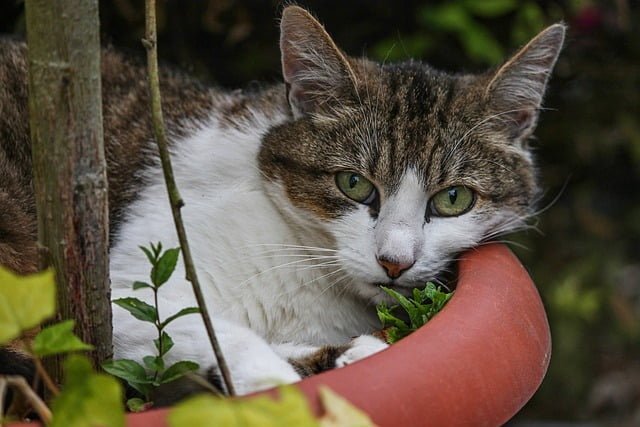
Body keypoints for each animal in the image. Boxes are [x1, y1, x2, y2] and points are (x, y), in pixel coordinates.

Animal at [0, 5, 564, 402]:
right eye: (353, 184)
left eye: (453, 198)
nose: (394, 261)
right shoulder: (118, 294)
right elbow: (207, 333)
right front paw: (274, 381)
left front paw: (337, 357)